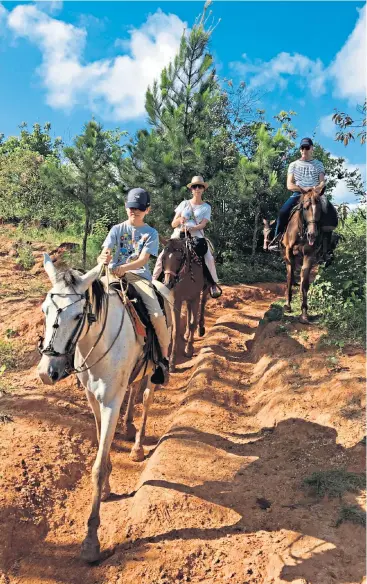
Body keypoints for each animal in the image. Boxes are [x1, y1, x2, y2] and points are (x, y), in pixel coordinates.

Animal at [37, 253, 170, 564]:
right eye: (45, 310)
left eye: (77, 316)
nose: (47, 372)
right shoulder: (93, 398)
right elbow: (101, 444)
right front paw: (108, 485)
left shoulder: (111, 401)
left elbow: (96, 467)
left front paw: (90, 541)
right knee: (134, 392)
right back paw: (130, 427)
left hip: (154, 371)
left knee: (146, 397)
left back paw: (137, 447)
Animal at [162, 236, 210, 370]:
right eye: (163, 258)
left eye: (179, 258)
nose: (168, 283)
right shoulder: (176, 301)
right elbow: (175, 329)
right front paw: (172, 361)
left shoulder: (195, 298)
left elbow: (193, 323)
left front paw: (188, 350)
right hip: (187, 299)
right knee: (188, 310)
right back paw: (187, 333)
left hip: (203, 292)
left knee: (203, 304)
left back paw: (200, 328)